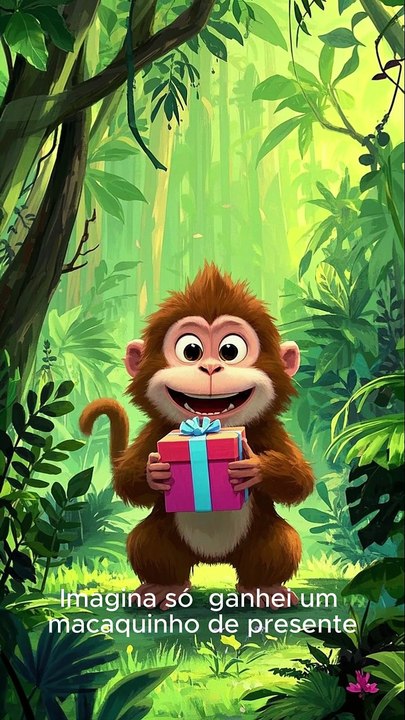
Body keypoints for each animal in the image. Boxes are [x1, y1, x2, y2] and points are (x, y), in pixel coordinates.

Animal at [80, 264, 314, 610]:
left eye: (230, 350)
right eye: (191, 350)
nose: (211, 367)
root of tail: (214, 560)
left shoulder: (270, 430)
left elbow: (299, 481)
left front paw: (253, 467)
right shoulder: (155, 430)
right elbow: (127, 482)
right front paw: (154, 472)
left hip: (262, 541)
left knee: (280, 544)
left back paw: (264, 589)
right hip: (163, 539)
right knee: (147, 544)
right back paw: (162, 588)